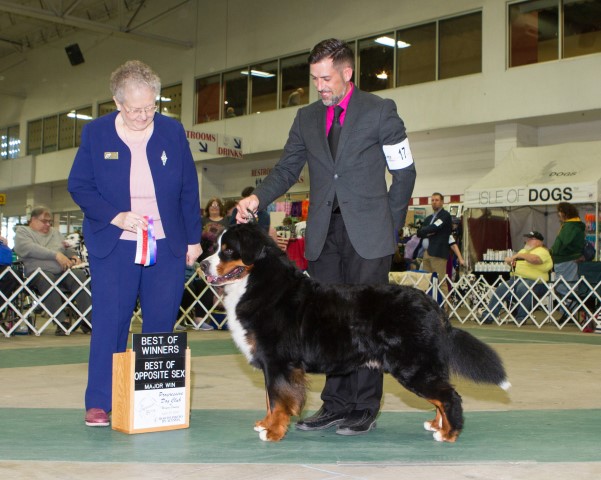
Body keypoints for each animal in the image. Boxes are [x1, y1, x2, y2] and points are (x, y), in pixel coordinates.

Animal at [200, 224, 506, 442]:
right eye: (214, 247)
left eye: (228, 250)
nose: (202, 264)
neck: (259, 282)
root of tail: (432, 304)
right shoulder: (270, 363)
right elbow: (269, 398)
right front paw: (265, 423)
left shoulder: (278, 361)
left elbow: (278, 399)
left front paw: (273, 431)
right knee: (442, 396)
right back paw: (437, 425)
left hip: (412, 366)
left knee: (449, 396)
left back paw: (449, 433)